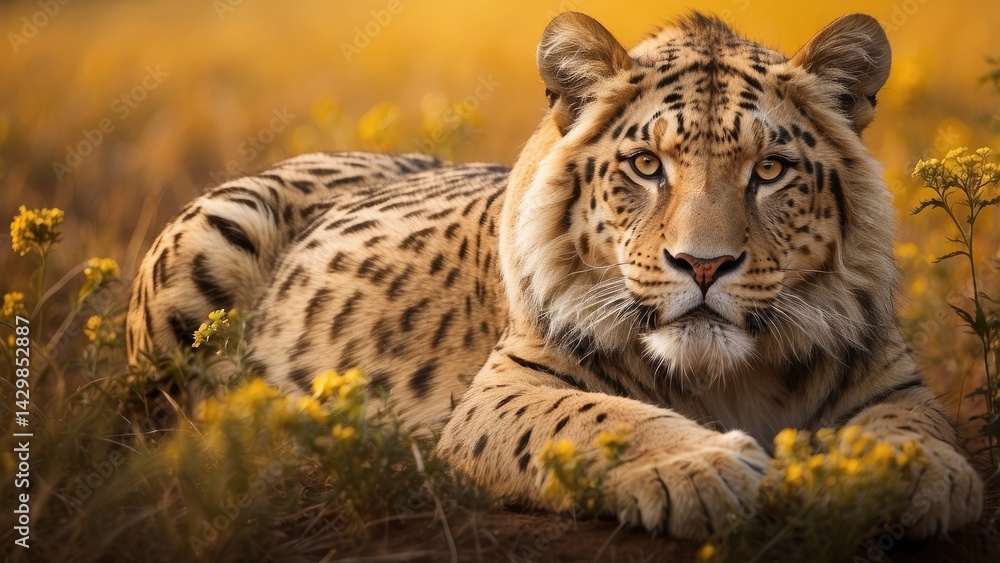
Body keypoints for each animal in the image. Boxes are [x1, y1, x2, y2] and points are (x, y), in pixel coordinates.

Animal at [127, 12, 984, 540]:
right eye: (646, 166)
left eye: (769, 170)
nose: (704, 264)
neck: (729, 378)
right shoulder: (505, 389)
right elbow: (601, 418)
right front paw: (702, 465)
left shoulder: (894, 384)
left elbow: (920, 435)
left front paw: (902, 474)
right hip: (215, 235)